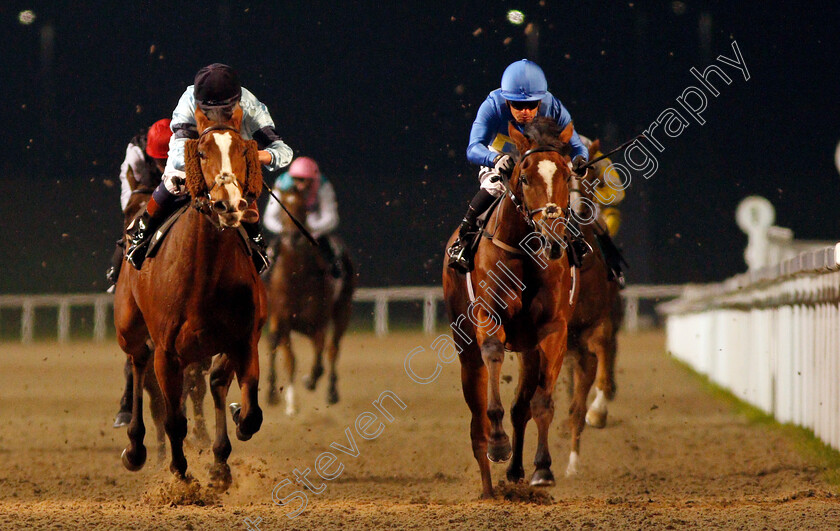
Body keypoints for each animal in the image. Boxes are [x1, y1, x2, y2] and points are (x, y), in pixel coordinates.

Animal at [115, 108, 266, 490]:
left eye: (243, 151)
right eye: (201, 152)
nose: (228, 204)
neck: (205, 275)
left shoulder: (244, 340)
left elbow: (250, 413)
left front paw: (232, 430)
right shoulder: (167, 352)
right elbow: (173, 418)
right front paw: (181, 476)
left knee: (213, 384)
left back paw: (220, 461)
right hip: (130, 330)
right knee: (138, 364)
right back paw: (136, 448)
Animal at [264, 186, 352, 416]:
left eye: (304, 207)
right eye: (281, 208)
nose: (294, 236)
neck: (297, 276)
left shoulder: (318, 322)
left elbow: (320, 359)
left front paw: (310, 381)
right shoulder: (283, 320)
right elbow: (290, 360)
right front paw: (291, 403)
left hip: (343, 309)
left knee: (333, 348)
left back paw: (331, 392)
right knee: (272, 342)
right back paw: (271, 393)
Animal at [446, 117, 576, 498]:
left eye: (566, 175)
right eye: (525, 177)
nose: (553, 240)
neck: (523, 251)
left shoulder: (553, 328)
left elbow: (541, 403)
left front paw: (542, 468)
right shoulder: (488, 318)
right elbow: (492, 360)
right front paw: (499, 442)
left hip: (529, 349)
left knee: (522, 408)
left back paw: (515, 472)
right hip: (464, 348)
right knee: (476, 419)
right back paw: (489, 487)